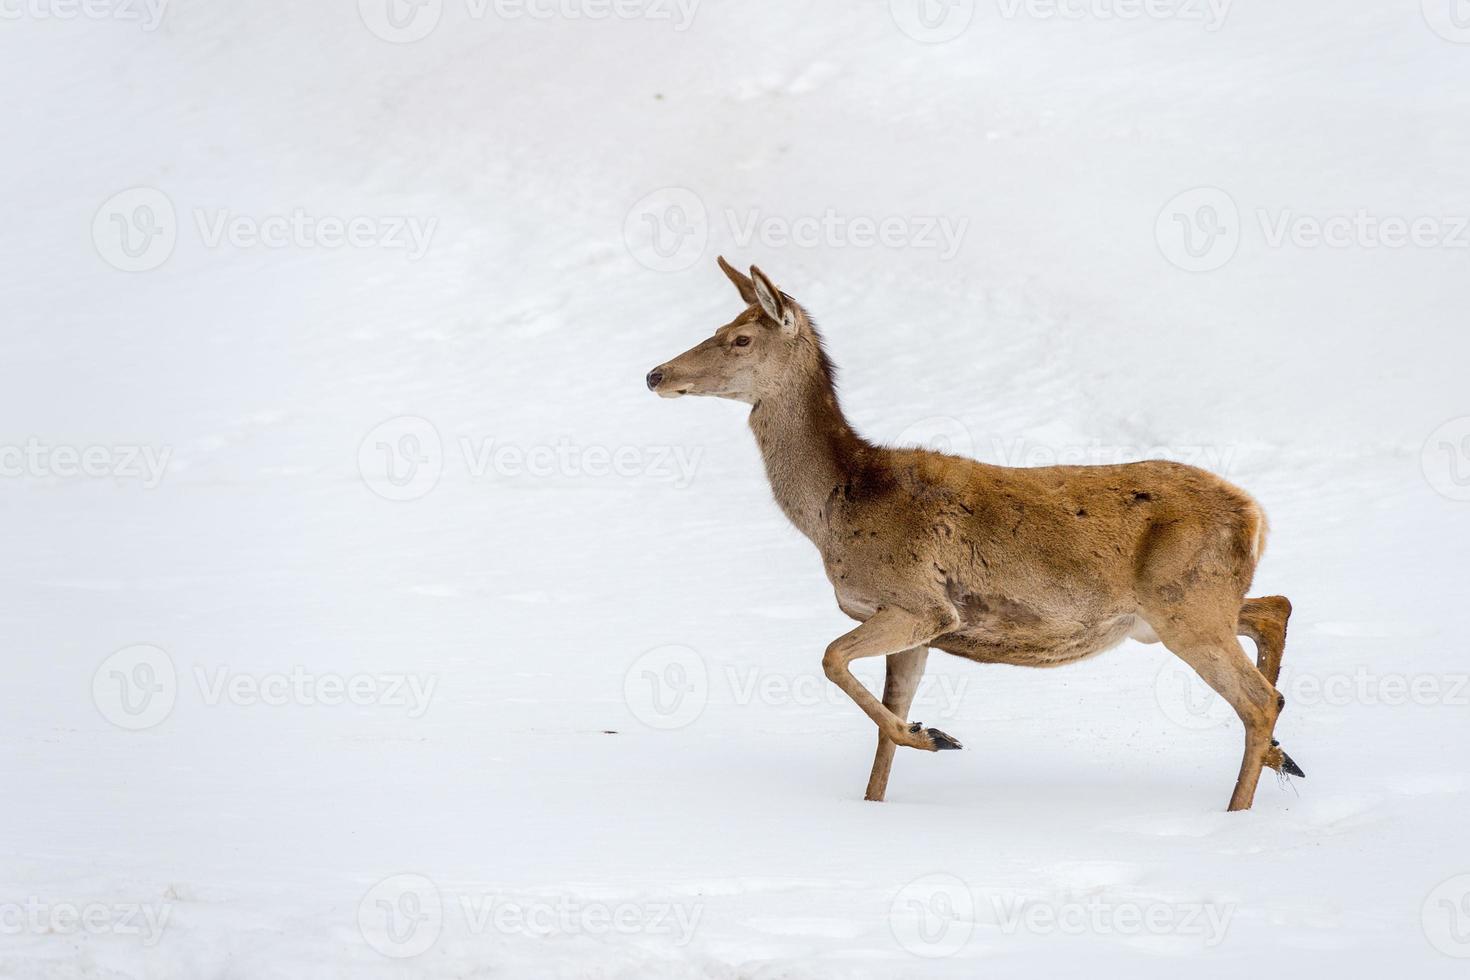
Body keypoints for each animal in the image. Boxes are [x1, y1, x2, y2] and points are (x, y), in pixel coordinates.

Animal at [649, 258, 1305, 811]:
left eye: (741, 339)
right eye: (720, 325)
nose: (656, 373)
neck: (835, 506)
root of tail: (1255, 515)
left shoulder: (921, 602)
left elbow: (831, 657)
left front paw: (936, 737)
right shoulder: (916, 626)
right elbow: (883, 728)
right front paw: (888, 783)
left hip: (1184, 604)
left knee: (1257, 698)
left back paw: (1237, 814)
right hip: (1184, 606)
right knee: (1273, 609)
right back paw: (1283, 758)